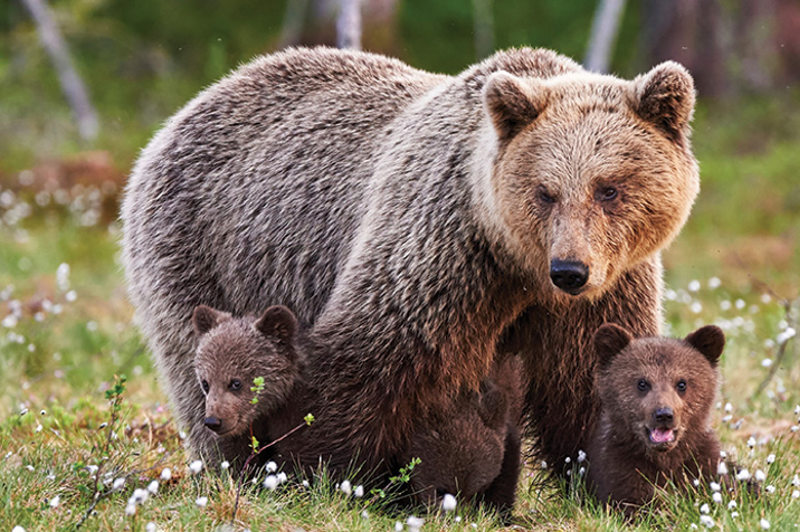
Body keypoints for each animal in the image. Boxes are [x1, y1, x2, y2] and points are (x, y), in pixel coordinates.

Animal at [122, 45, 696, 478]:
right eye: (544, 192)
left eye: (609, 189)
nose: (571, 271)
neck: (516, 265)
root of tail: (190, 107)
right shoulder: (440, 251)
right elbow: (370, 360)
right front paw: (329, 472)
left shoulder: (604, 290)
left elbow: (591, 381)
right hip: (201, 247)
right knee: (205, 361)